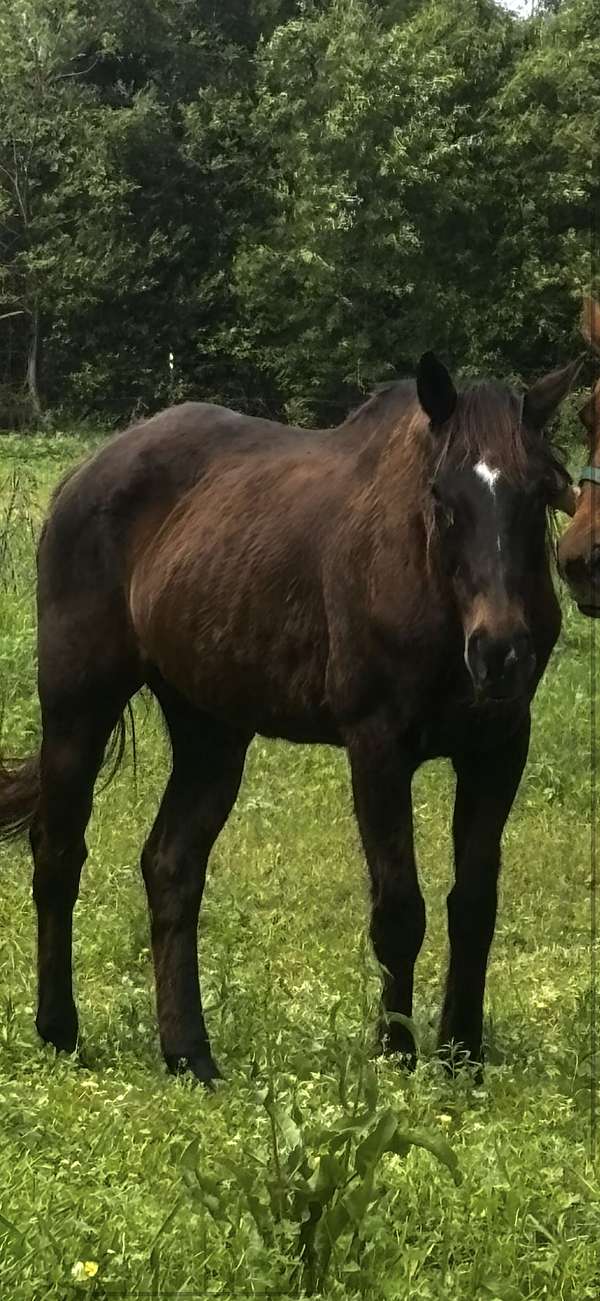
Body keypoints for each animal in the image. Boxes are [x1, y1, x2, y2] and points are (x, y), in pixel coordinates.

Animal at [0, 350, 581, 1084]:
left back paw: (190, 1053)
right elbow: (400, 908)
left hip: (211, 732)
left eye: (538, 494)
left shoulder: (499, 747)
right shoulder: (377, 745)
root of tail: (81, 478)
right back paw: (59, 1030)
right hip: (78, 707)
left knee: (170, 867)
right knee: (58, 853)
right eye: (443, 499)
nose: (500, 651)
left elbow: (473, 906)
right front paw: (397, 1054)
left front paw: (461, 1060)